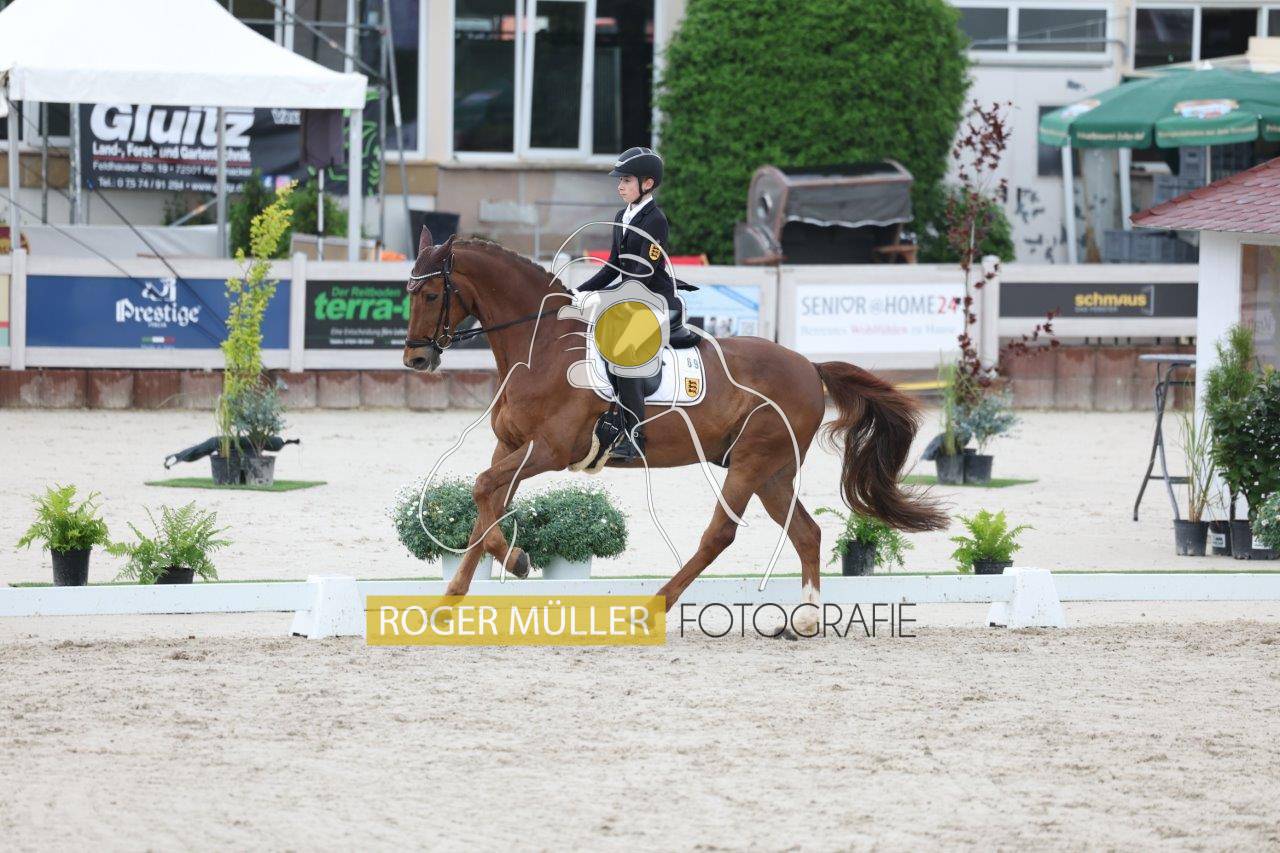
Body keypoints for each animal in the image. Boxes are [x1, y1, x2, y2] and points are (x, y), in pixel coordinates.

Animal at [401, 228, 946, 633]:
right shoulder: (510, 446)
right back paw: (806, 620)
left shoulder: (548, 450)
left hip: (753, 461)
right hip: (773, 471)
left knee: (721, 533)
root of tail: (810, 367)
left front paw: (514, 561)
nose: (416, 360)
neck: (542, 347)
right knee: (806, 533)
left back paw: (653, 608)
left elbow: (483, 490)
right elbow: (487, 504)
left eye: (430, 293)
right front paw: (454, 598)